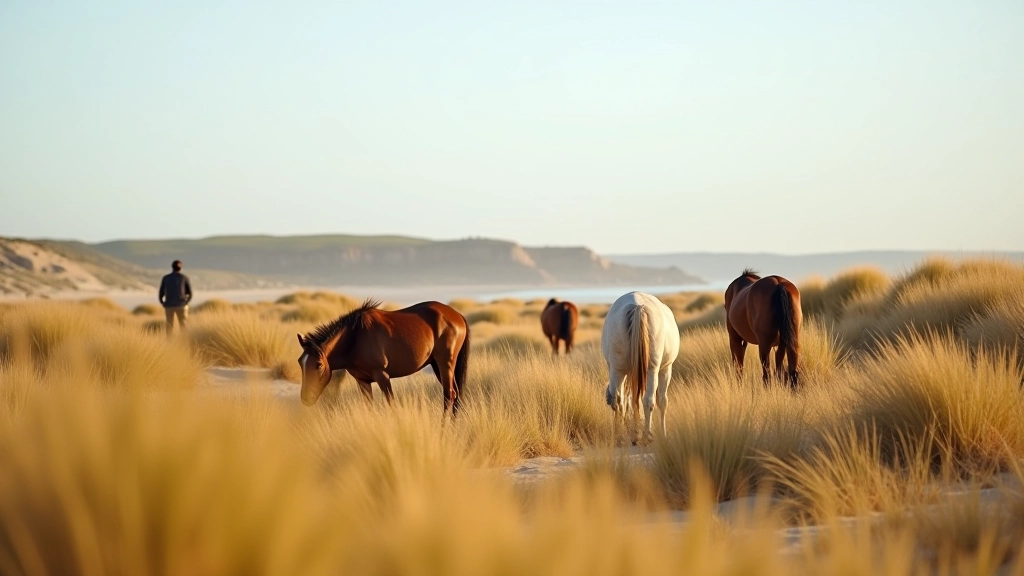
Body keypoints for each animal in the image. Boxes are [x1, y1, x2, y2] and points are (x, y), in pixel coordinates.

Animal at [295, 299, 470, 417]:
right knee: (455, 394)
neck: (355, 337)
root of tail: (458, 316)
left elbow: (390, 404)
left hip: (445, 363)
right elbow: (370, 407)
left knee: (449, 395)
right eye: (300, 363)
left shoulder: (382, 376)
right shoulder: (363, 381)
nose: (305, 398)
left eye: (318, 364)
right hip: (437, 364)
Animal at [602, 291, 680, 444]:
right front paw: (663, 434)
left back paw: (621, 436)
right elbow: (662, 401)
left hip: (618, 369)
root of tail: (638, 306)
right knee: (648, 400)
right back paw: (646, 435)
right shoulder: (666, 369)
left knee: (618, 399)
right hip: (652, 369)